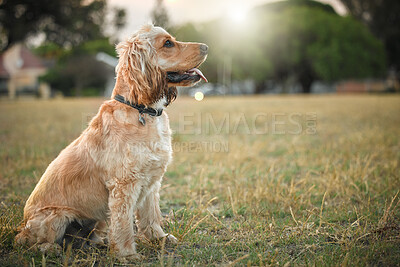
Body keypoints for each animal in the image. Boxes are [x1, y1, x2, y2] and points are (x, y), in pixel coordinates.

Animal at [14, 24, 209, 260]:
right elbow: (123, 223)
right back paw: (51, 248)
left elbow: (152, 216)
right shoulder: (124, 184)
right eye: (168, 43)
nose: (207, 47)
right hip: (55, 217)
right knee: (30, 243)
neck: (142, 110)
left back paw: (98, 243)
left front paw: (159, 239)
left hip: (96, 220)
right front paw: (127, 254)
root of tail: (22, 226)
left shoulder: (152, 184)